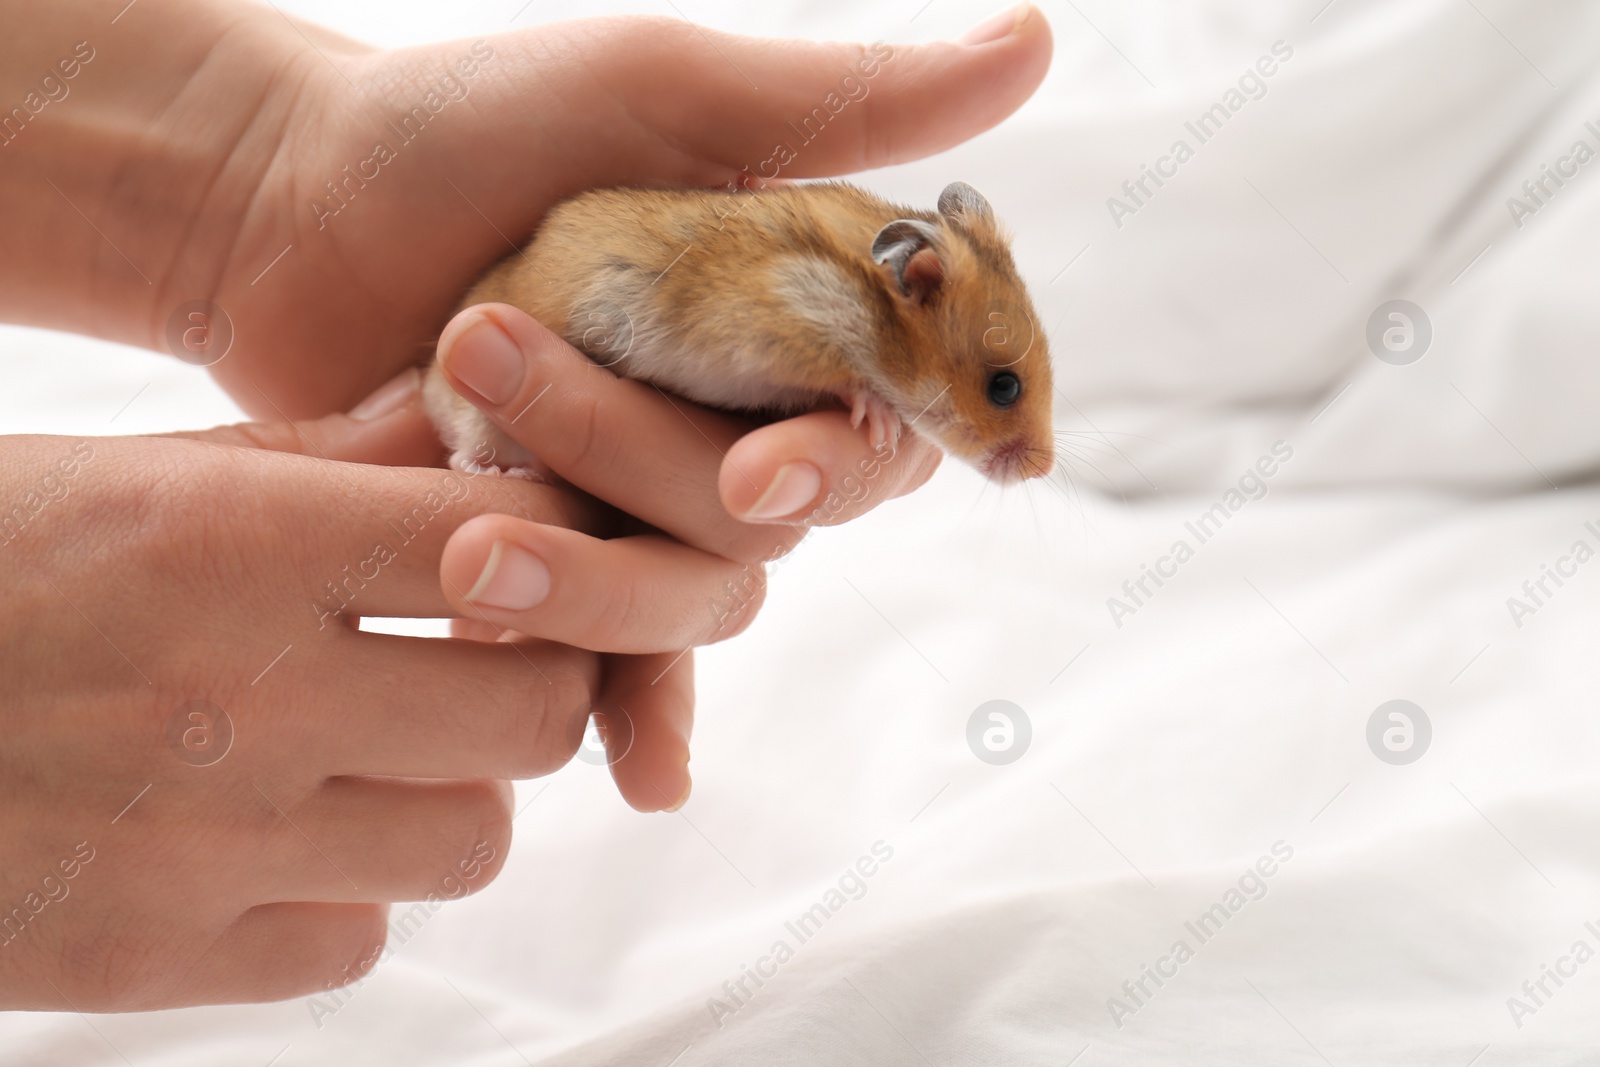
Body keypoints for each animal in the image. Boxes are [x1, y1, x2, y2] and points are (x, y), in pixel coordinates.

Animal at [422, 180, 1049, 489]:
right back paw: (511, 474)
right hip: (478, 409)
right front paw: (882, 422)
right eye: (1004, 387)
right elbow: (848, 382)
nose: (1040, 472)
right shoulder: (770, 328)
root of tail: (426, 381)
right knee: (462, 451)